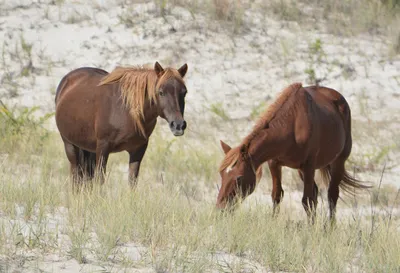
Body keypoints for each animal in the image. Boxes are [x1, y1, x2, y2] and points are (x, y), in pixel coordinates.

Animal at [54, 61, 189, 187]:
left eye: (184, 92)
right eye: (161, 92)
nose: (178, 125)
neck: (127, 110)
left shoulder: (138, 149)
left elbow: (132, 181)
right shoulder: (103, 147)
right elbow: (100, 179)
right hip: (70, 145)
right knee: (76, 175)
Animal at [217, 83, 370, 221]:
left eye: (239, 177)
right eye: (221, 175)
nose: (221, 208)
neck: (292, 125)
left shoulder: (309, 166)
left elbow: (307, 200)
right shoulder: (275, 164)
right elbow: (277, 195)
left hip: (338, 161)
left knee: (332, 195)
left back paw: (330, 227)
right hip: (301, 170)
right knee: (316, 193)